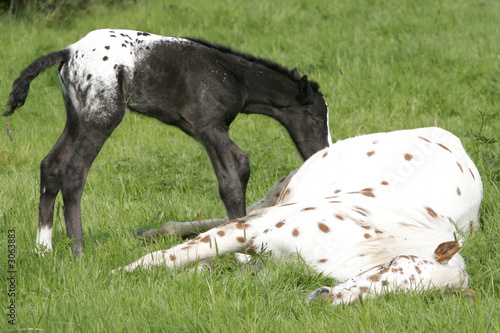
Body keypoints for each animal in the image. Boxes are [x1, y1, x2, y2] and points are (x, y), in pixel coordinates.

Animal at [5, 29, 332, 256]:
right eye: (316, 118)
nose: (323, 151)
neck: (232, 75)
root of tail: (68, 51)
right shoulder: (211, 127)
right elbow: (229, 183)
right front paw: (236, 246)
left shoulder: (202, 130)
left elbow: (241, 165)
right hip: (102, 117)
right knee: (72, 172)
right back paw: (79, 251)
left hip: (76, 118)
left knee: (50, 166)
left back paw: (43, 250)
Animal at [112, 126, 480, 304]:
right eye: (391, 265)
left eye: (402, 295)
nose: (326, 299)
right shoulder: (251, 228)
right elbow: (170, 257)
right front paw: (117, 274)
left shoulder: (260, 260)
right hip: (277, 194)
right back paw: (155, 232)